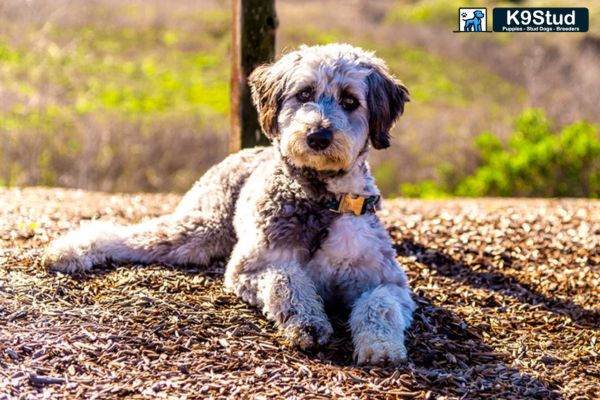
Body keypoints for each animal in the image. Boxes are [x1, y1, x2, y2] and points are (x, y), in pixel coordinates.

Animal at [43, 43, 418, 366]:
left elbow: (379, 304)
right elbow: (285, 280)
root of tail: (243, 152)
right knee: (119, 233)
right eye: (305, 93)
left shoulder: (387, 280)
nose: (318, 137)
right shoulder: (249, 267)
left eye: (350, 101)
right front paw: (307, 323)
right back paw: (69, 250)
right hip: (199, 229)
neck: (320, 199)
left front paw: (381, 346)